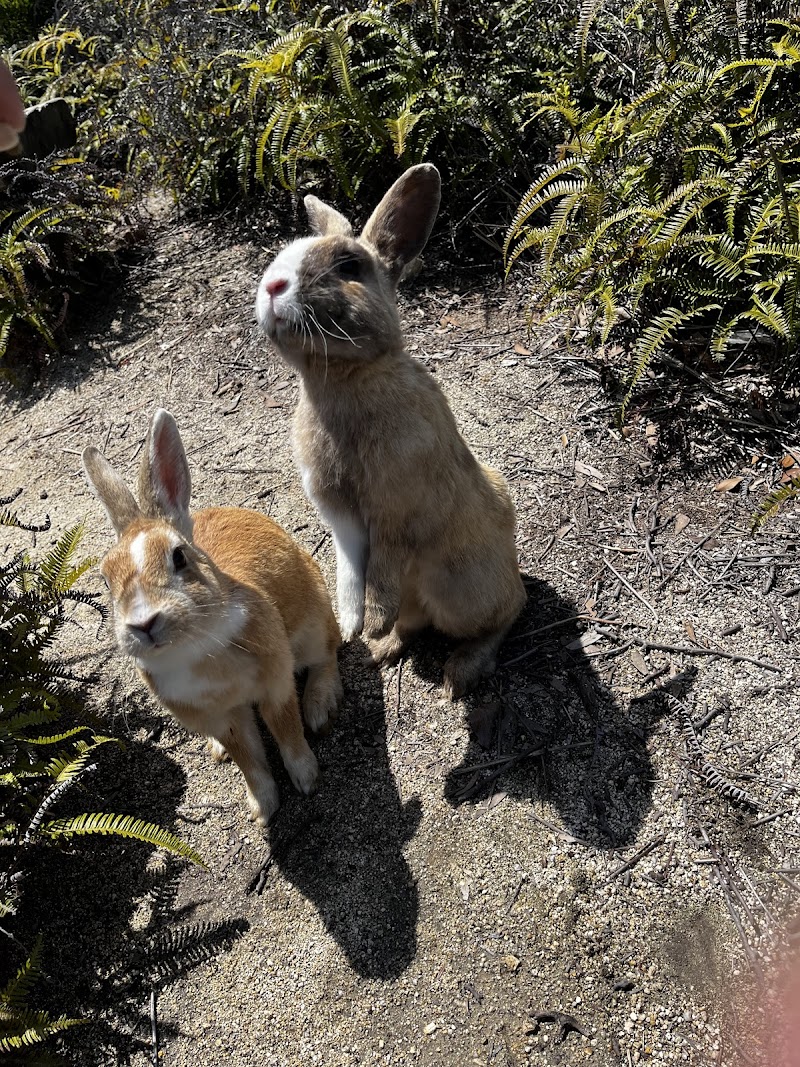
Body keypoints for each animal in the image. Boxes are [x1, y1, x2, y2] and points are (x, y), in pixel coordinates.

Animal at [81, 407, 341, 823]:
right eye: (105, 580)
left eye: (179, 556)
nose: (143, 623)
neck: (193, 647)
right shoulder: (221, 718)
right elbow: (248, 759)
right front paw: (262, 808)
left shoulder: (275, 684)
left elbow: (287, 732)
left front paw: (306, 779)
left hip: (313, 624)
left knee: (326, 655)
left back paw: (319, 708)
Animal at [254, 164, 526, 699]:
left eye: (349, 266)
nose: (273, 285)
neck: (341, 379)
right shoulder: (340, 517)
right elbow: (349, 568)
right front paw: (353, 625)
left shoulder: (397, 510)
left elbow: (381, 566)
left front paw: (371, 621)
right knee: (417, 623)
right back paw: (385, 648)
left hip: (464, 590)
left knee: (506, 613)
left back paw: (460, 670)